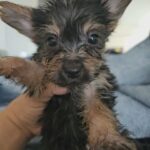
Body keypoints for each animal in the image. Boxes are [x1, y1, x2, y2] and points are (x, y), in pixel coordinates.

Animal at [0, 0, 137, 149]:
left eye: (93, 38)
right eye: (51, 41)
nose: (72, 69)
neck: (74, 86)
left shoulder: (96, 87)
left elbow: (99, 111)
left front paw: (108, 140)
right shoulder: (48, 78)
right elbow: (33, 69)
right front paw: (7, 62)